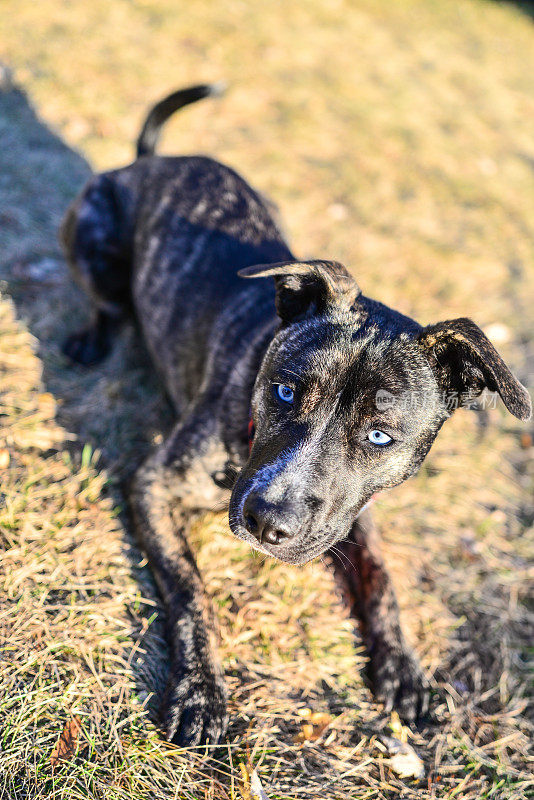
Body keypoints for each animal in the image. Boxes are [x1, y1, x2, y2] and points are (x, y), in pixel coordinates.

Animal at [61, 87, 532, 752]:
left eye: (380, 437)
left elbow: (382, 577)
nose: (266, 521)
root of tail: (151, 162)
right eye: (283, 391)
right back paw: (91, 339)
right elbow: (192, 591)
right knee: (107, 305)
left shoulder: (353, 513)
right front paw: (201, 692)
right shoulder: (154, 483)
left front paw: (404, 669)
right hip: (94, 235)